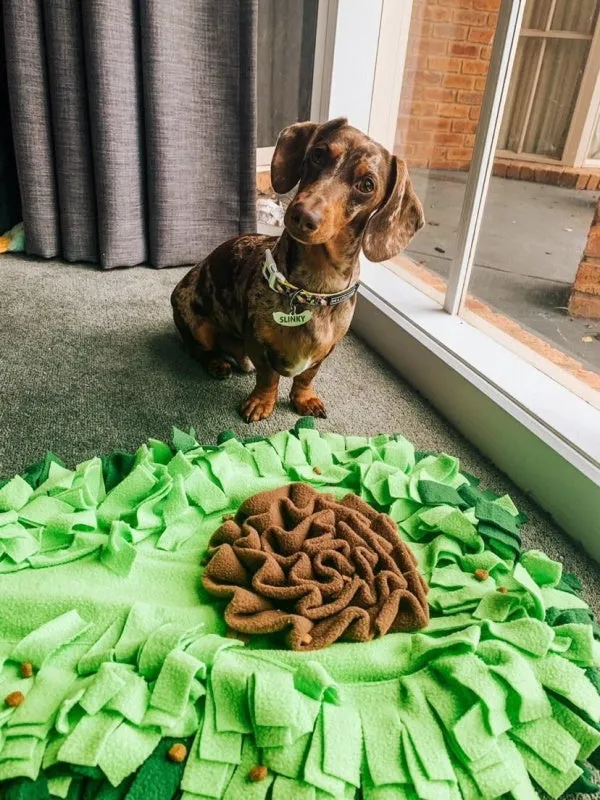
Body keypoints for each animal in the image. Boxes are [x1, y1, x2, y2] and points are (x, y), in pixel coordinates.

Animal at [171, 118, 424, 422]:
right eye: (317, 154)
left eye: (367, 184)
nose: (302, 215)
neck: (313, 288)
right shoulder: (257, 342)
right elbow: (268, 376)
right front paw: (261, 402)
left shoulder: (325, 351)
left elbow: (306, 377)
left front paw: (304, 399)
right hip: (194, 322)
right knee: (196, 349)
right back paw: (217, 363)